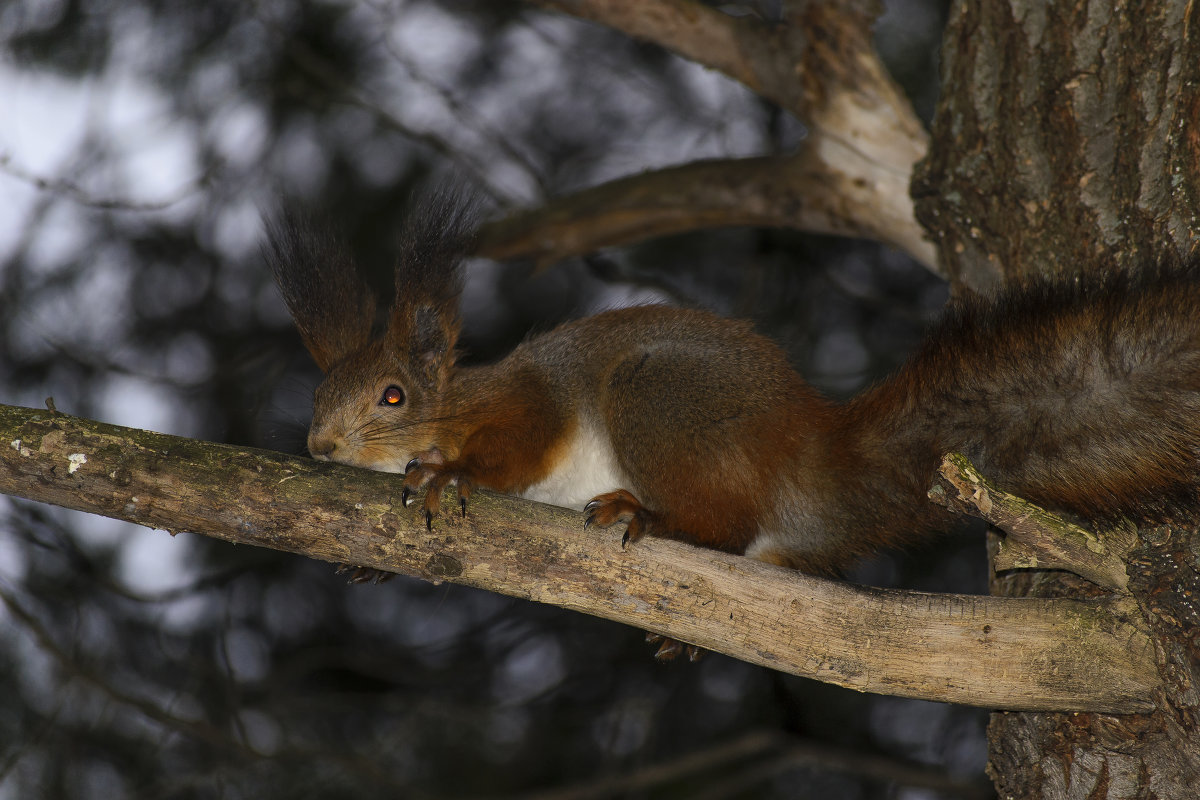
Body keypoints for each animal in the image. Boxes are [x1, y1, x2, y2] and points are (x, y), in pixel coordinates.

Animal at [267, 196, 1200, 587]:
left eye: (392, 397)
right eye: (315, 396)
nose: (318, 446)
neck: (456, 403)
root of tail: (812, 453)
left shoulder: (530, 401)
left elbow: (518, 448)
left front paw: (451, 475)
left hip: (659, 400)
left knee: (725, 526)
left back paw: (648, 515)